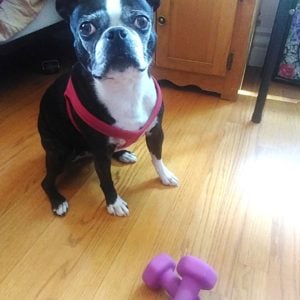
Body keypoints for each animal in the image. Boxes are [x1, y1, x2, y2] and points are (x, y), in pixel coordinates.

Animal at [37, 0, 178, 217]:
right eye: (85, 27)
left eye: (142, 21)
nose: (117, 33)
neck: (125, 85)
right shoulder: (100, 150)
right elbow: (106, 179)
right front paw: (114, 203)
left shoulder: (155, 132)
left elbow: (157, 157)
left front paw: (165, 175)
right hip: (60, 153)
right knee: (46, 182)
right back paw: (58, 201)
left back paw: (123, 153)